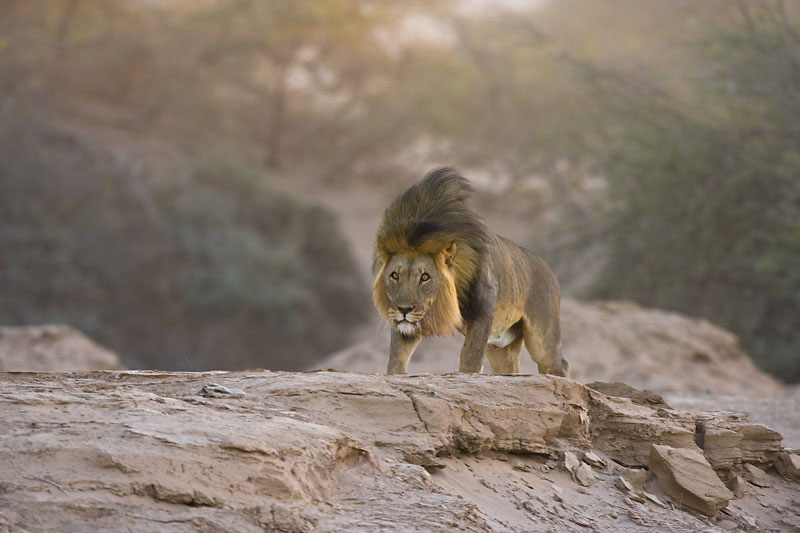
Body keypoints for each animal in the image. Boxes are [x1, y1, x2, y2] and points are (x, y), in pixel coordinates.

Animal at [374, 168, 568, 376]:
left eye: (425, 277)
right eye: (395, 276)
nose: (404, 310)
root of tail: (548, 269)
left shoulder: (484, 305)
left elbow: (470, 356)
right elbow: (397, 357)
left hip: (542, 340)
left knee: (560, 363)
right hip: (500, 348)